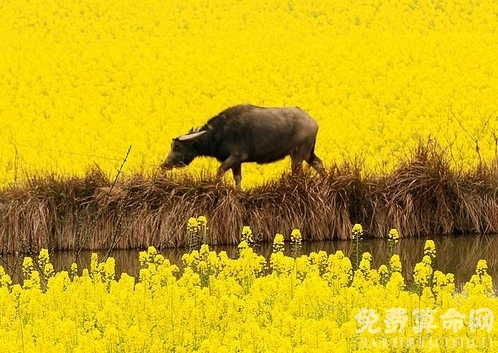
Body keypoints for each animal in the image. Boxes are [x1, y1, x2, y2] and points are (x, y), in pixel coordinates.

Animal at [161, 104, 326, 187]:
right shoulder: (236, 162)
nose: (164, 165)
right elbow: (237, 178)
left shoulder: (237, 156)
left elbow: (219, 171)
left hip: (298, 154)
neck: (220, 132)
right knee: (318, 163)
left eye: (177, 147)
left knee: (297, 173)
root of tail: (313, 122)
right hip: (308, 154)